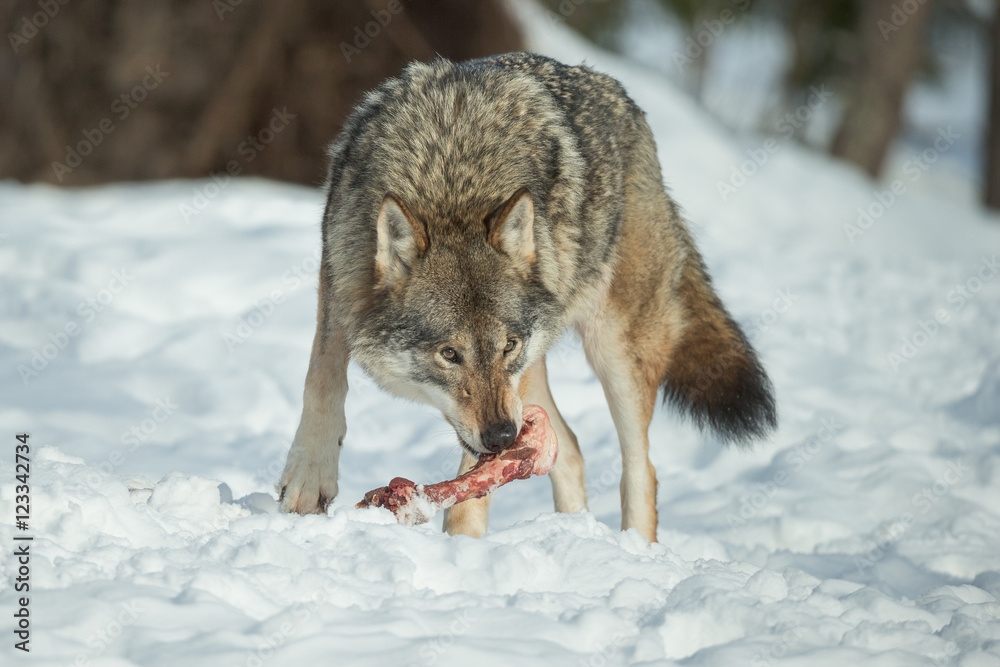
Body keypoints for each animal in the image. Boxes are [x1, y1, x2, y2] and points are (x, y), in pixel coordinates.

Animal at [278, 52, 776, 544]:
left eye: (507, 346)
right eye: (450, 354)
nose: (502, 437)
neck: (453, 177)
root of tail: (623, 98)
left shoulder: (514, 381)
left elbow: (473, 485)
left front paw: (462, 547)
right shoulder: (337, 275)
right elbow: (321, 376)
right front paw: (308, 479)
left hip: (614, 350)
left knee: (641, 469)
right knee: (570, 449)